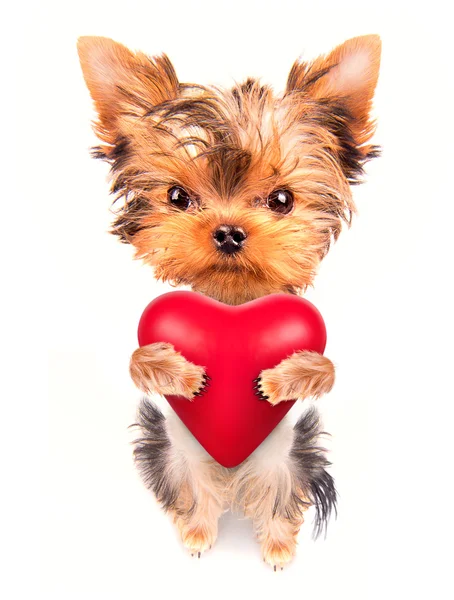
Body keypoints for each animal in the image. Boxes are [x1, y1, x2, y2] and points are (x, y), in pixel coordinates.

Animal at [77, 35, 380, 568]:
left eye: (282, 200)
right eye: (178, 197)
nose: (229, 232)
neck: (233, 299)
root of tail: (233, 477)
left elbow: (326, 369)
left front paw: (281, 380)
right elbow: (137, 361)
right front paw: (180, 373)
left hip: (289, 460)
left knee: (280, 500)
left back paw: (278, 546)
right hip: (174, 455)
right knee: (191, 494)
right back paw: (198, 534)